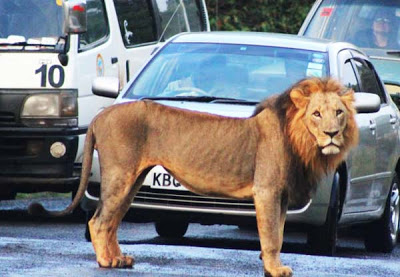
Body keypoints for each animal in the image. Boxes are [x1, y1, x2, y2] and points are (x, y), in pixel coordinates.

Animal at [28, 77, 360, 276]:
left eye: (339, 113)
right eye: (316, 114)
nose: (332, 134)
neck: (300, 140)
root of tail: (100, 115)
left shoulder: (281, 196)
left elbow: (277, 234)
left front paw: (271, 267)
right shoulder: (266, 191)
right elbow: (270, 237)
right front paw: (275, 269)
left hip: (132, 181)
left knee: (110, 223)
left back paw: (120, 259)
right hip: (120, 176)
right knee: (98, 222)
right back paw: (106, 262)